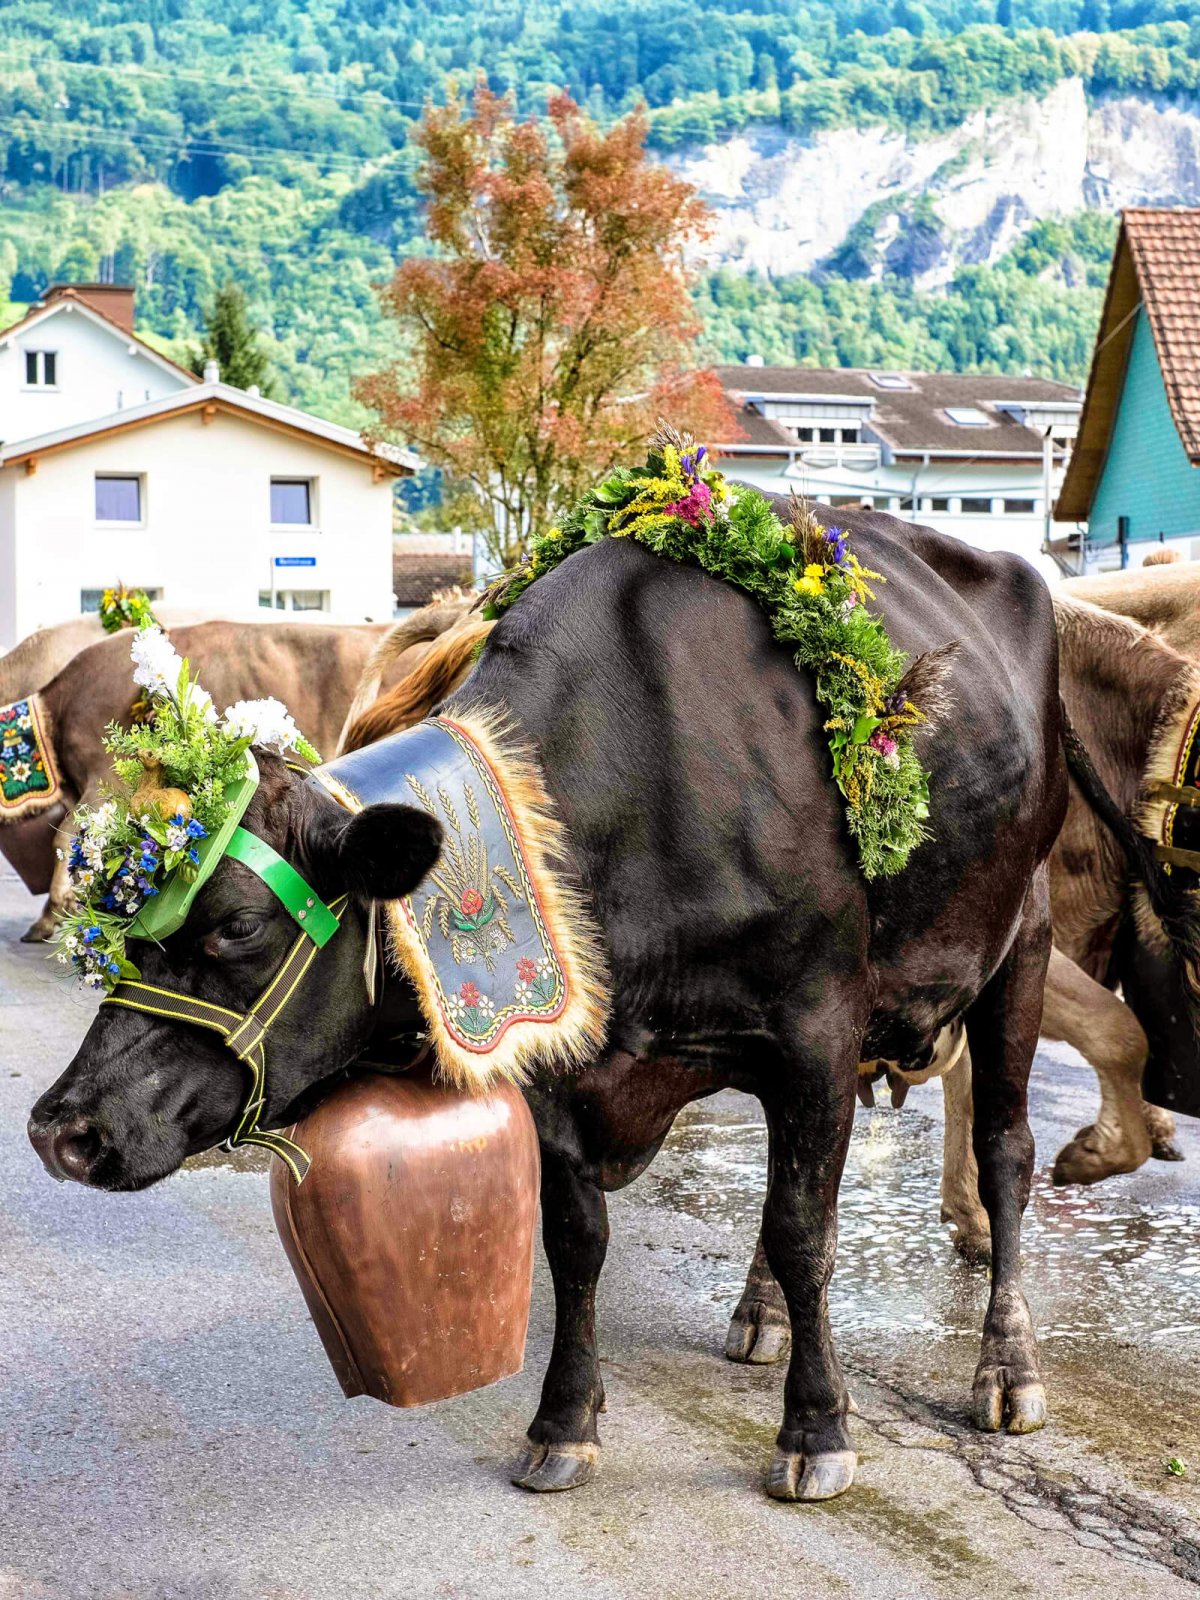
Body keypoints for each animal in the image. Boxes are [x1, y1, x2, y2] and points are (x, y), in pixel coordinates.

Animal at [28, 441, 1196, 1510]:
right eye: (127, 928)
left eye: (233, 928)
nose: (59, 1129)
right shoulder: (558, 1057)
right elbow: (581, 1240)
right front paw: (564, 1423)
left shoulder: (817, 1025)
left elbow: (808, 1230)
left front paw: (817, 1430)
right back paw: (760, 1315)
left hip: (1019, 945)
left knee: (1003, 1154)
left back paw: (1007, 1364)